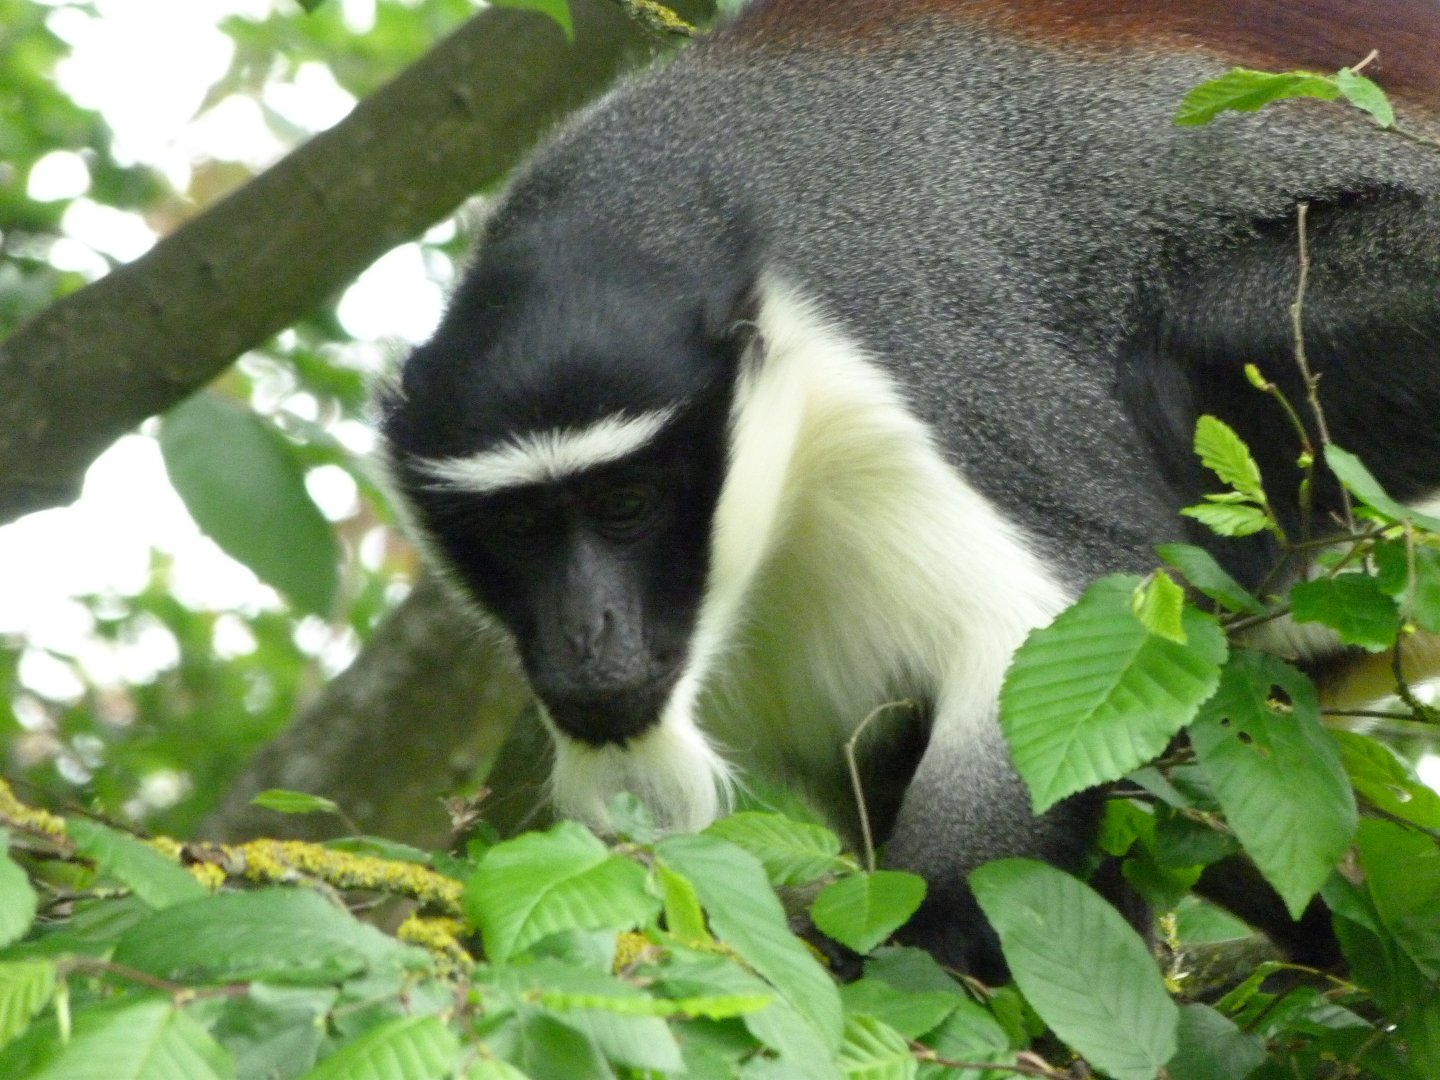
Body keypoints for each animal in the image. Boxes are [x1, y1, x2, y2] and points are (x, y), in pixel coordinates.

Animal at [377, 0, 1440, 978]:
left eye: (625, 508)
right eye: (520, 529)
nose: (584, 632)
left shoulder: (910, 370)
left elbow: (1073, 626)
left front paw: (905, 942)